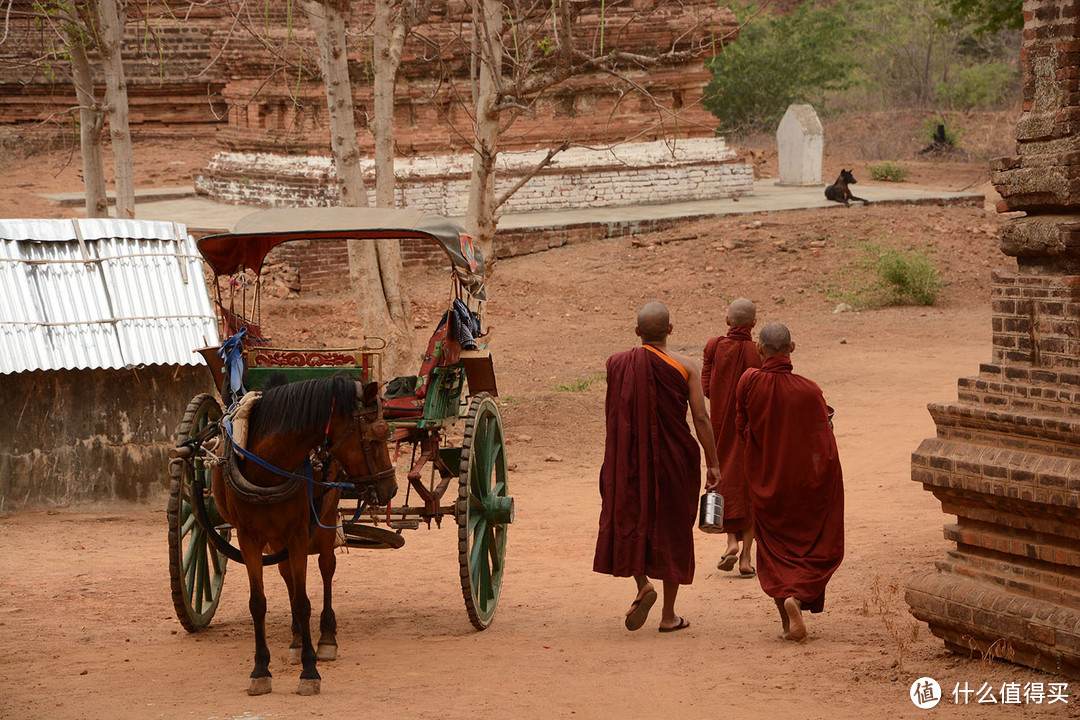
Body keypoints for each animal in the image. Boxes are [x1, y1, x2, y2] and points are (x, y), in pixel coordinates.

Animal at [210, 375, 397, 695]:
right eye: (377, 435)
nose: (392, 488)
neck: (267, 465)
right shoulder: (248, 538)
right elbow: (258, 603)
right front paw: (260, 669)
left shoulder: (298, 534)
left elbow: (302, 602)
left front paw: (310, 672)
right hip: (276, 538)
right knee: (287, 575)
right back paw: (297, 640)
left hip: (324, 522)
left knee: (326, 568)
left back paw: (326, 639)